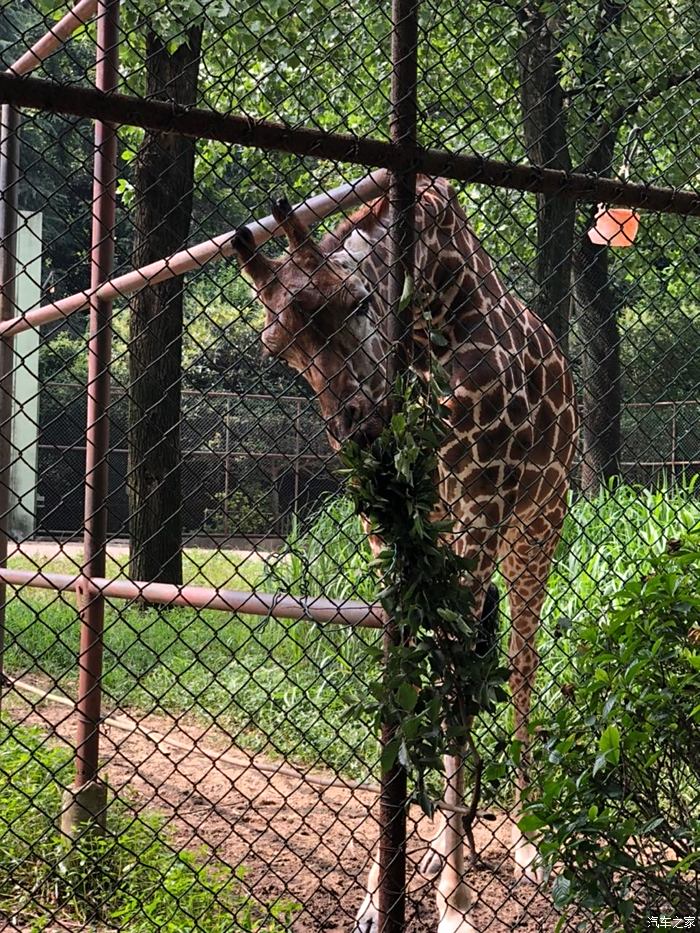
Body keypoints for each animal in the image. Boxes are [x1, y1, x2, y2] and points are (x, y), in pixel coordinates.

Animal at [230, 177, 576, 932]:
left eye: (360, 301)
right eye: (276, 348)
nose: (357, 431)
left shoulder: (481, 503)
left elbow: (453, 686)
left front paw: (455, 903)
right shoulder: (388, 521)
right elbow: (403, 671)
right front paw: (375, 894)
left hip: (537, 522)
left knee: (518, 662)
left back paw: (526, 843)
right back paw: (453, 844)